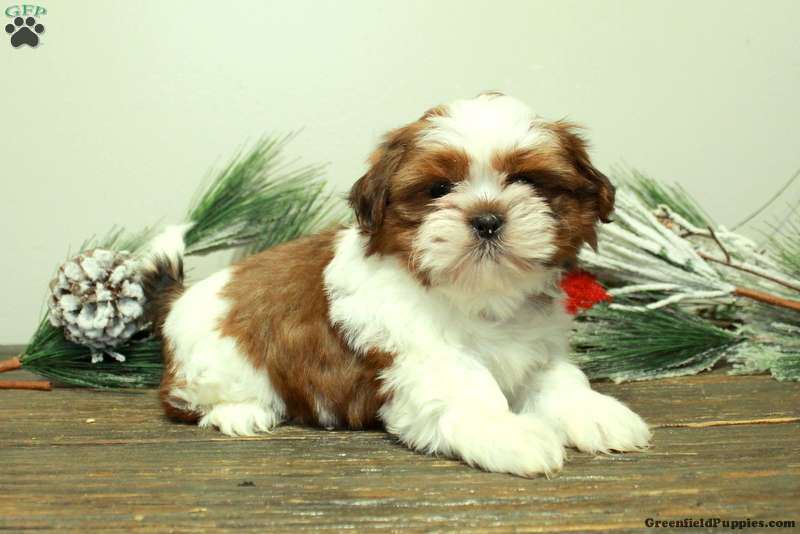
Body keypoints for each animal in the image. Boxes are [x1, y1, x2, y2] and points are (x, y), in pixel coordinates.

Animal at [143, 93, 651, 477]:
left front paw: (595, 413)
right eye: (439, 189)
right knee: (184, 401)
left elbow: (559, 380)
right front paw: (508, 433)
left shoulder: (536, 346)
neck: (478, 296)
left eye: (527, 179)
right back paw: (240, 412)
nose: (487, 219)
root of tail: (181, 297)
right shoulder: (420, 356)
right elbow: (470, 387)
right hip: (217, 364)